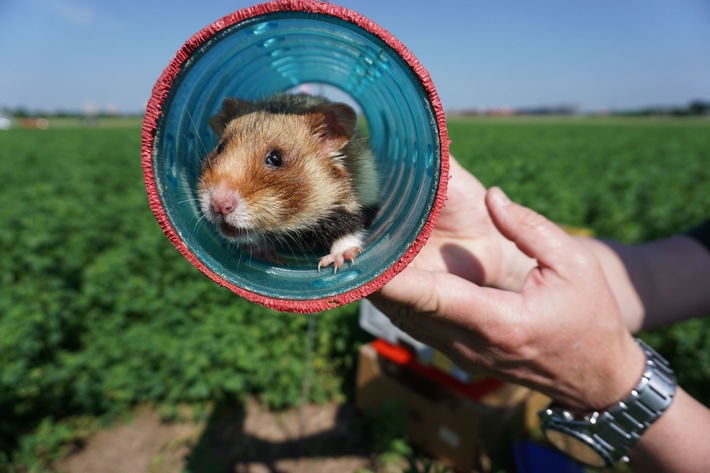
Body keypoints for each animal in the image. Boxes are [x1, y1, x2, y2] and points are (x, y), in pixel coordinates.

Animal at [197, 93, 380, 271]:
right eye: (220, 148)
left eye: (276, 158)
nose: (219, 205)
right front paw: (262, 253)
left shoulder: (344, 204)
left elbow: (350, 230)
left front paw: (336, 261)